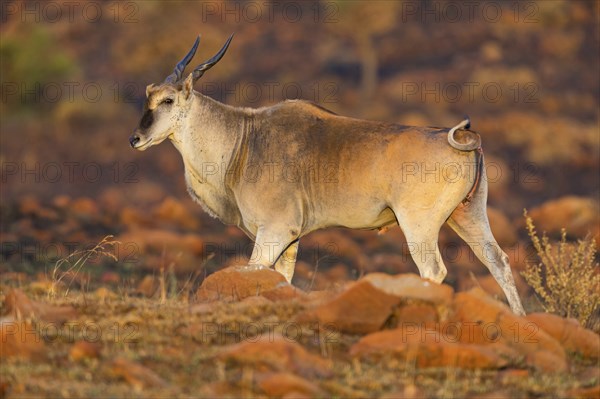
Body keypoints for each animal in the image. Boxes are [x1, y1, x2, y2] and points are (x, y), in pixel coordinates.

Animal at [127, 35, 524, 316]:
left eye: (168, 101)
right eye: (149, 95)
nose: (136, 139)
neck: (244, 137)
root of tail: (463, 139)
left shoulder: (274, 232)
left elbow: (254, 272)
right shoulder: (288, 240)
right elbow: (279, 281)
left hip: (419, 226)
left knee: (434, 271)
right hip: (468, 217)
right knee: (499, 262)